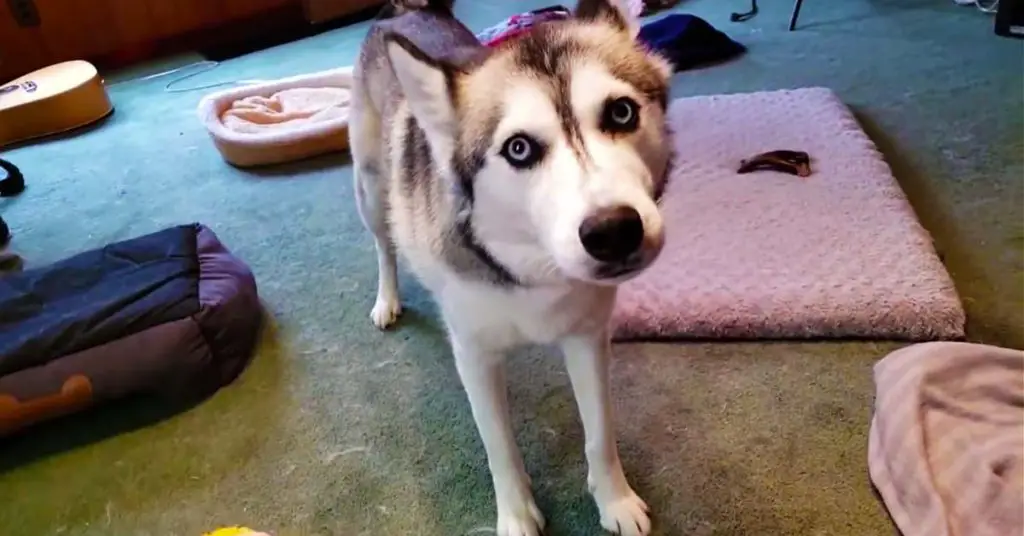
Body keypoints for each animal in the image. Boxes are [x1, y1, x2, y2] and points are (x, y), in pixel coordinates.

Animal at [352, 2, 671, 532]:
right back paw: (386, 299)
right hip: (372, 192)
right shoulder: (475, 356)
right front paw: (518, 514)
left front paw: (615, 500)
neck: (534, 271)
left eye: (621, 112)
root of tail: (404, 13)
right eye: (519, 148)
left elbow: (600, 432)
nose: (613, 231)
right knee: (383, 245)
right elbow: (498, 446)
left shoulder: (588, 337)